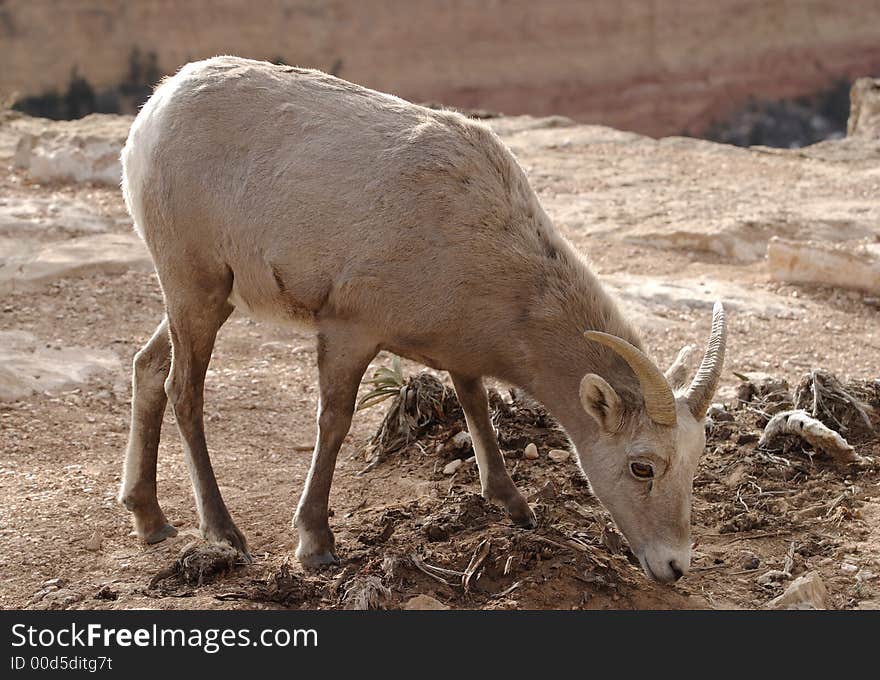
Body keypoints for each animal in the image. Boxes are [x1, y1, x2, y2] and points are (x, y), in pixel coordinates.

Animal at [120, 57, 724, 584]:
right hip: (194, 287)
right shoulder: (349, 331)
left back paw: (150, 520)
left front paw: (515, 507)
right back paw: (224, 534)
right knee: (182, 389)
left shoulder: (459, 351)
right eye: (642, 467)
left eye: (695, 462)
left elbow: (476, 406)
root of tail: (154, 112)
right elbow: (334, 422)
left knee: (148, 367)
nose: (675, 567)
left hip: (208, 298)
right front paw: (315, 544)